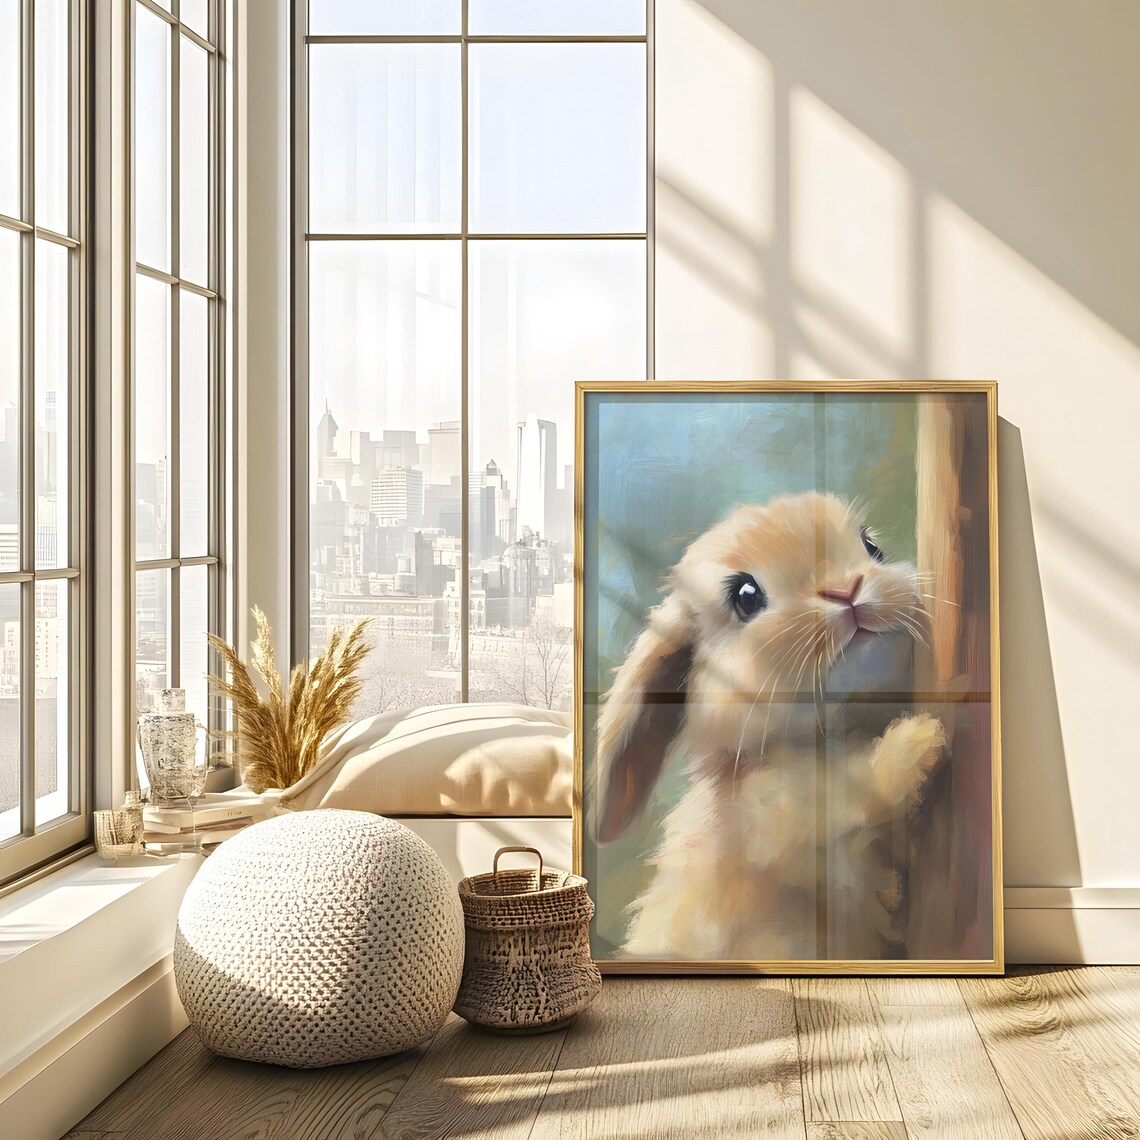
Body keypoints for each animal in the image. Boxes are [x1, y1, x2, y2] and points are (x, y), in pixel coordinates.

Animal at [593, 491, 948, 961]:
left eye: (872, 548)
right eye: (746, 596)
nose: (847, 590)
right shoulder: (774, 812)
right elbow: (842, 792)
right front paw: (922, 740)